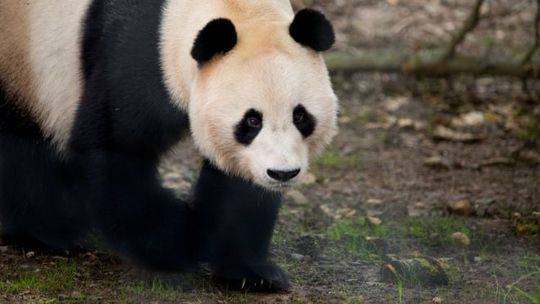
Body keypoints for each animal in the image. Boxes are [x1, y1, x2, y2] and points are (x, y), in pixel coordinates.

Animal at [0, 0, 338, 292]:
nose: (282, 173)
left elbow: (239, 187)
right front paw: (187, 239)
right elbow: (115, 154)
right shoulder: (135, 54)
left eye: (300, 116)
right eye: (252, 121)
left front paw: (251, 272)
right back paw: (48, 232)